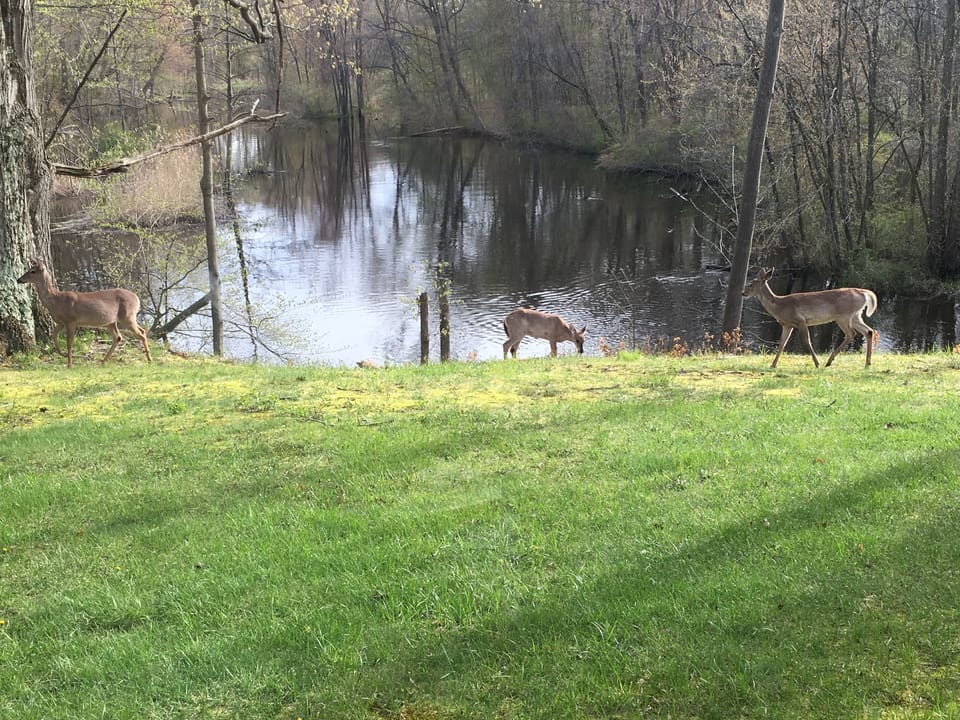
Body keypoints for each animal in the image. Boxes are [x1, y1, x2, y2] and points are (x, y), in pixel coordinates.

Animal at [17, 261, 153, 367]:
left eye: (32, 271)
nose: (19, 279)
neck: (56, 301)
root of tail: (137, 298)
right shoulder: (61, 322)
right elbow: (53, 336)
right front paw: (62, 354)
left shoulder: (71, 321)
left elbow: (69, 343)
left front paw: (69, 364)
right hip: (110, 322)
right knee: (120, 336)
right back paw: (103, 361)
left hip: (127, 316)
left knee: (141, 333)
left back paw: (149, 359)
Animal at [742, 267, 878, 368]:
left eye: (750, 284)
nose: (743, 293)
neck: (779, 305)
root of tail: (864, 293)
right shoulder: (787, 325)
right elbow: (782, 344)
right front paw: (773, 365)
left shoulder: (800, 320)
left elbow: (807, 342)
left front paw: (817, 363)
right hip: (855, 315)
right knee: (869, 331)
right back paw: (867, 363)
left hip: (843, 315)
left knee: (851, 334)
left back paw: (829, 361)